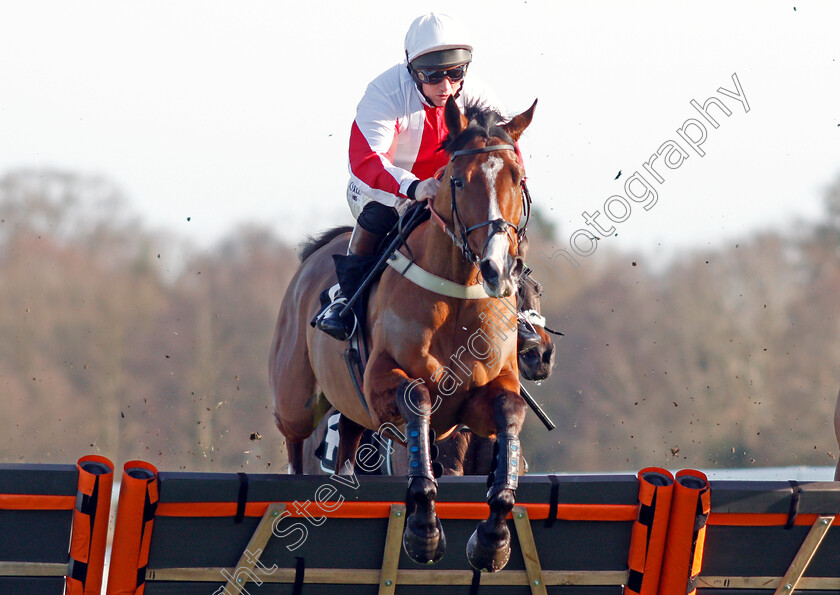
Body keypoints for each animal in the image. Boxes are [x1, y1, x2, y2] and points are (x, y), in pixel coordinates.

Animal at [274, 99, 540, 572]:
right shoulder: (383, 381)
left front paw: (493, 538)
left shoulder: (485, 393)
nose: (497, 268)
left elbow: (509, 412)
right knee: (294, 446)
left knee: (346, 447)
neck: (457, 295)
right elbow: (417, 402)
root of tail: (316, 255)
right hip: (295, 400)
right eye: (457, 179)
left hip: (351, 413)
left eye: (517, 178)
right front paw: (424, 531)